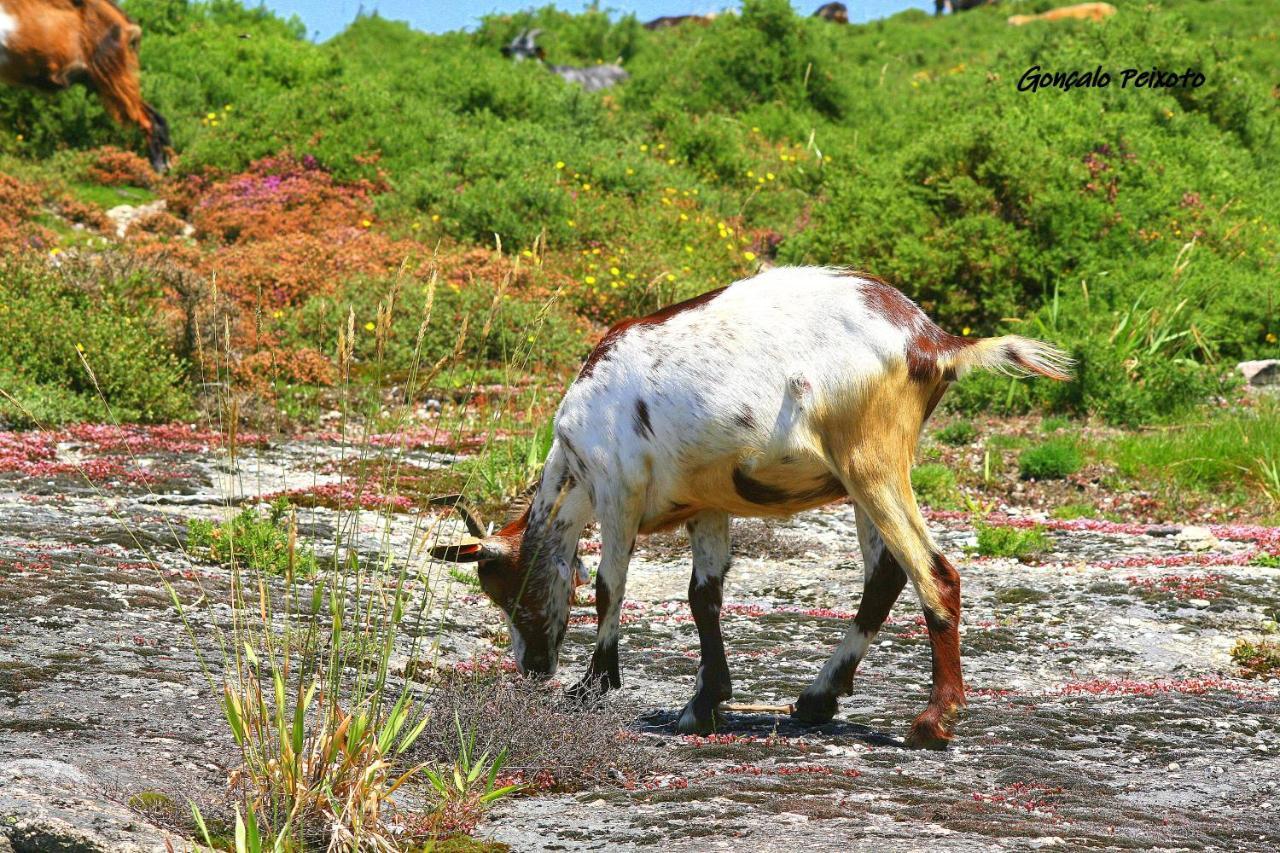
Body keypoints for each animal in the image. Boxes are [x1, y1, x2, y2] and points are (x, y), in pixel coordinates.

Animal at [0, 0, 170, 171]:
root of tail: (126, 25)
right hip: (101, 79)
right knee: (154, 116)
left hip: (113, 74)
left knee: (149, 119)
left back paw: (159, 167)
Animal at [430, 263, 1070, 742]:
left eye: (507, 591)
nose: (532, 666)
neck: (574, 456)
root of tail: (932, 341)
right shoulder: (706, 504)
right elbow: (703, 596)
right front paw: (703, 703)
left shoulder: (618, 492)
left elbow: (612, 585)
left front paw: (593, 684)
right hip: (865, 473)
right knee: (886, 574)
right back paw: (816, 699)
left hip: (871, 457)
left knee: (933, 572)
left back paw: (933, 722)